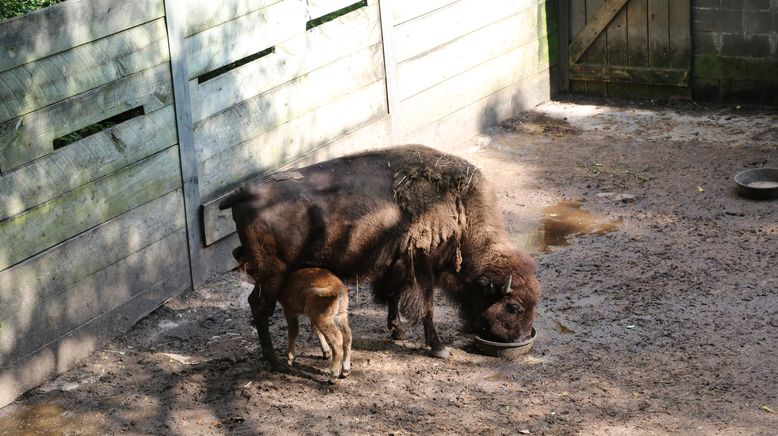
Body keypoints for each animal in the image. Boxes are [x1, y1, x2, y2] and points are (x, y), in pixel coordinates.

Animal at [215, 144, 536, 368]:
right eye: (513, 307)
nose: (522, 338)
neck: (460, 205)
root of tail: (245, 192)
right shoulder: (423, 267)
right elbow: (427, 307)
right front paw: (438, 348)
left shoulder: (397, 264)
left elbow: (393, 295)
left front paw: (397, 331)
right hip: (271, 273)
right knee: (259, 307)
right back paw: (277, 363)